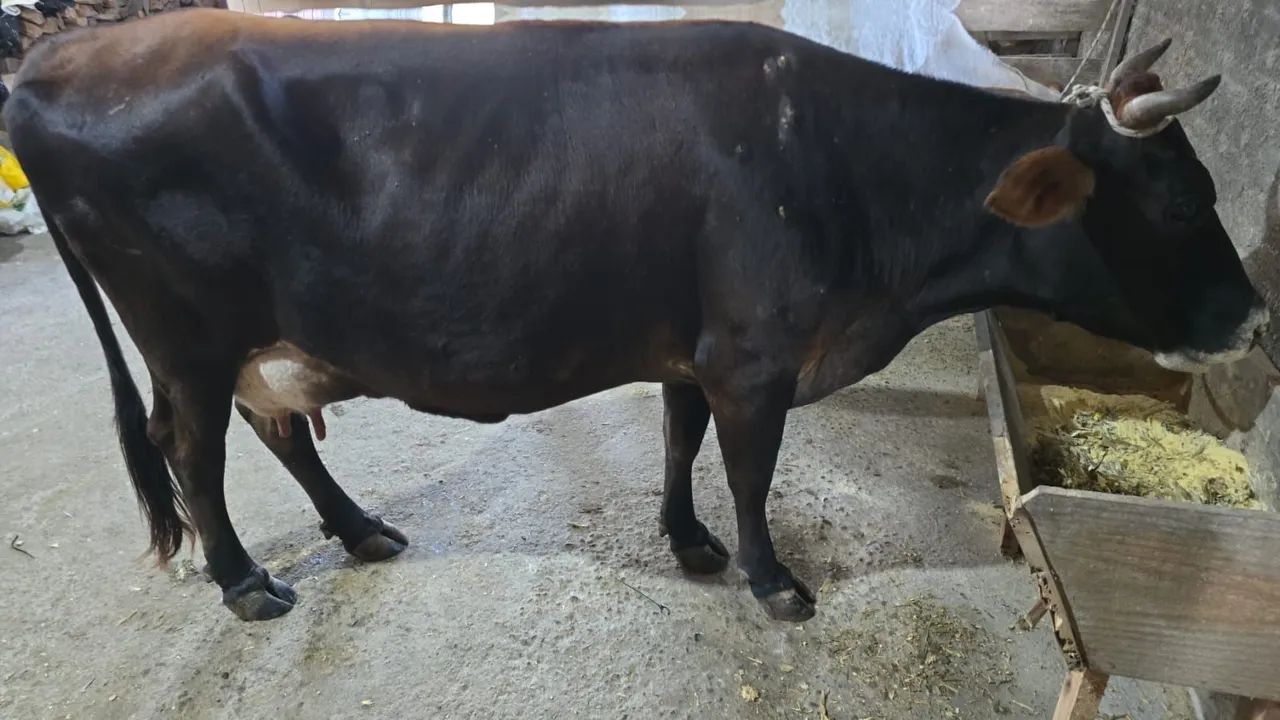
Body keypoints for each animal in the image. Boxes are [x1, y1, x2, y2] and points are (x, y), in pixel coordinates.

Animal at [4, 11, 1267, 622]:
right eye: (1175, 198)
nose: (1255, 316)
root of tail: (58, 61)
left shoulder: (693, 348)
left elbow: (679, 439)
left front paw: (688, 541)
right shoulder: (756, 354)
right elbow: (750, 472)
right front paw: (771, 580)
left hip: (266, 342)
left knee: (270, 434)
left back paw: (359, 530)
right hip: (186, 338)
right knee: (191, 453)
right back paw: (244, 584)